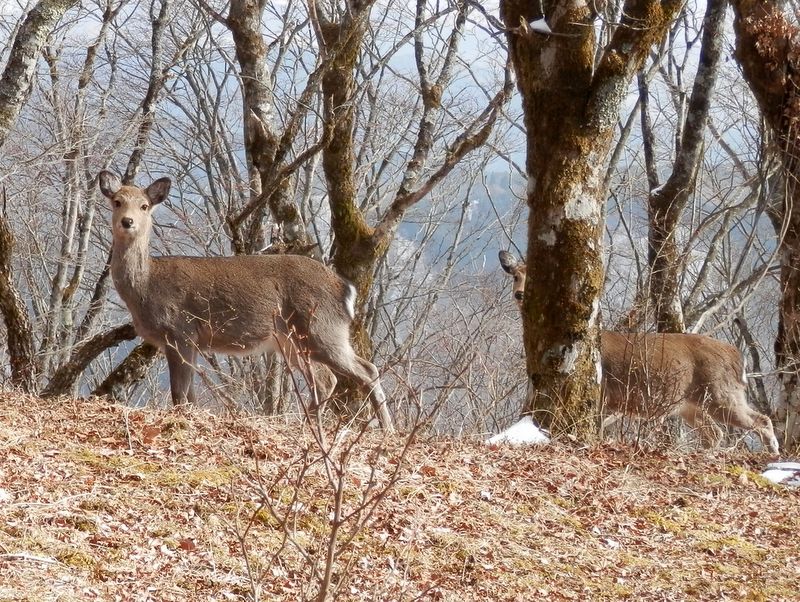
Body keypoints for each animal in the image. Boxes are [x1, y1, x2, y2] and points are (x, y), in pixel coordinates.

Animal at [99, 170, 393, 432]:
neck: (147, 287)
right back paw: (307, 425)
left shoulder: (181, 331)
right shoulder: (190, 342)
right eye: (117, 201)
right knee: (327, 379)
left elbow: (179, 393)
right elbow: (189, 394)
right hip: (293, 341)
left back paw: (386, 430)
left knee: (365, 370)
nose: (127, 222)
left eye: (144, 205)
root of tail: (345, 288)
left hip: (322, 328)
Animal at [498, 250, 779, 454]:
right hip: (690, 404)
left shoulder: (603, 395)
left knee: (760, 420)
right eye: (515, 275)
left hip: (721, 392)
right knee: (715, 433)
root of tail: (737, 357)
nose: (520, 294)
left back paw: (773, 452)